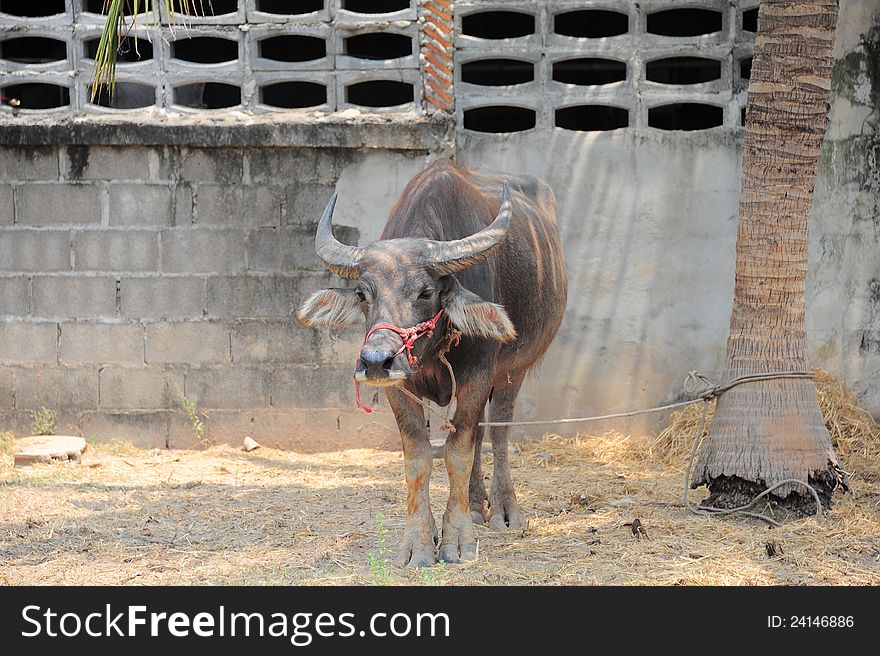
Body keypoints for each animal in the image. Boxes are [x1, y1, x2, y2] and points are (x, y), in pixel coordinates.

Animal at [300, 158, 568, 564]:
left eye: (426, 292)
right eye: (363, 294)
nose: (375, 361)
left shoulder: (478, 375)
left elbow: (457, 452)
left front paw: (457, 539)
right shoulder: (399, 387)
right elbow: (419, 457)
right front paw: (419, 542)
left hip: (514, 370)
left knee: (498, 430)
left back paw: (504, 510)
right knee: (479, 433)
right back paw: (476, 503)